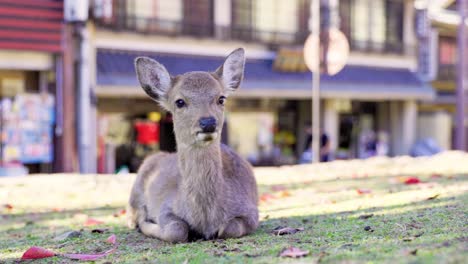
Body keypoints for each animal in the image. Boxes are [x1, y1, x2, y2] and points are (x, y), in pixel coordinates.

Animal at [127, 48, 260, 242]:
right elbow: (176, 230)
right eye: (179, 101)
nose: (208, 122)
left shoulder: (251, 211)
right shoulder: (166, 206)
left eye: (221, 99)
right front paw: (146, 222)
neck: (206, 218)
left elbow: (230, 228)